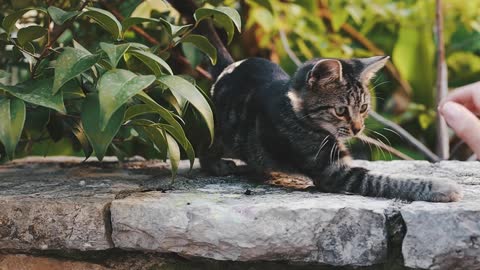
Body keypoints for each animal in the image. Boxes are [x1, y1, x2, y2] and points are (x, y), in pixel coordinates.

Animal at [200, 54, 462, 201]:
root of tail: (229, 66)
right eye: (341, 110)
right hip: (215, 128)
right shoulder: (336, 174)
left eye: (364, 107)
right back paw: (218, 164)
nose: (358, 129)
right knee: (205, 148)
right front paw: (441, 187)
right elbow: (386, 181)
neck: (295, 108)